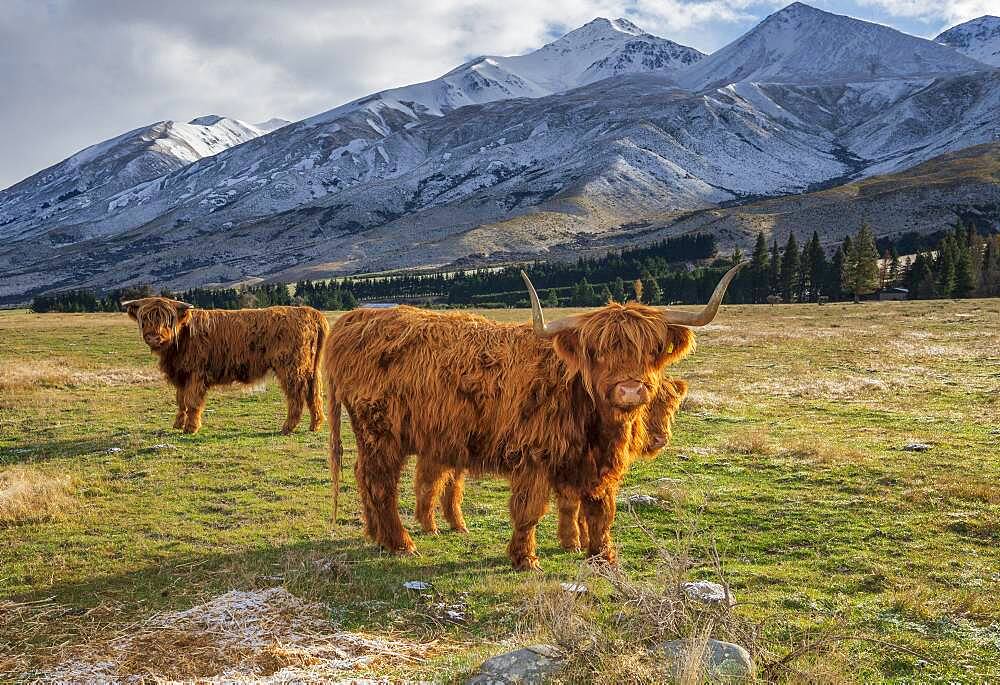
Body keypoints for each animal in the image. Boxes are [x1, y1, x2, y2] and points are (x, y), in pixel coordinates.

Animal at [123, 298, 330, 432]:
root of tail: (309, 312)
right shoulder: (181, 375)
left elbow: (192, 401)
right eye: (145, 318)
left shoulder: (196, 374)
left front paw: (191, 428)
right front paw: (178, 424)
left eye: (168, 319)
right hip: (310, 368)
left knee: (296, 394)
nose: (153, 337)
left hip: (291, 368)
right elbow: (181, 400)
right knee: (314, 392)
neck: (181, 339)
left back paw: (288, 427)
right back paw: (315, 425)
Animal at [412, 376, 688, 548]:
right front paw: (572, 542)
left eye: (670, 406)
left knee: (451, 485)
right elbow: (570, 506)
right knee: (430, 484)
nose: (660, 439)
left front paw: (585, 539)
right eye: (646, 407)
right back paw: (430, 527)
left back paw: (457, 525)